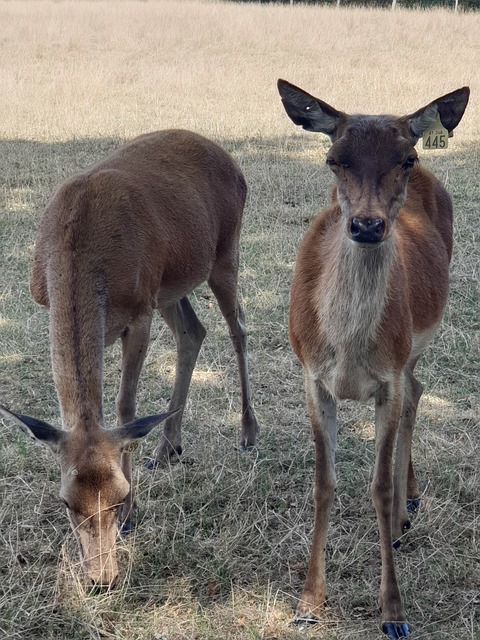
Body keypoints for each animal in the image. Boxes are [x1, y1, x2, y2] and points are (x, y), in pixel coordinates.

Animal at [0, 127, 258, 588]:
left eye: (119, 496)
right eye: (65, 502)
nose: (102, 578)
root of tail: (230, 159)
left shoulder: (138, 313)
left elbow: (126, 406)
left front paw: (134, 516)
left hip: (224, 251)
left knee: (238, 328)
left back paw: (248, 432)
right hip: (170, 285)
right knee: (193, 331)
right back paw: (168, 447)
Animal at [278, 77, 468, 636]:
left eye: (405, 158)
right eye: (334, 158)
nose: (367, 225)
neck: (347, 348)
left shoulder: (389, 376)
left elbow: (378, 488)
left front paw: (394, 613)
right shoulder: (311, 377)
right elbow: (323, 483)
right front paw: (308, 602)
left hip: (415, 344)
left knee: (416, 393)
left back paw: (407, 508)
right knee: (420, 391)